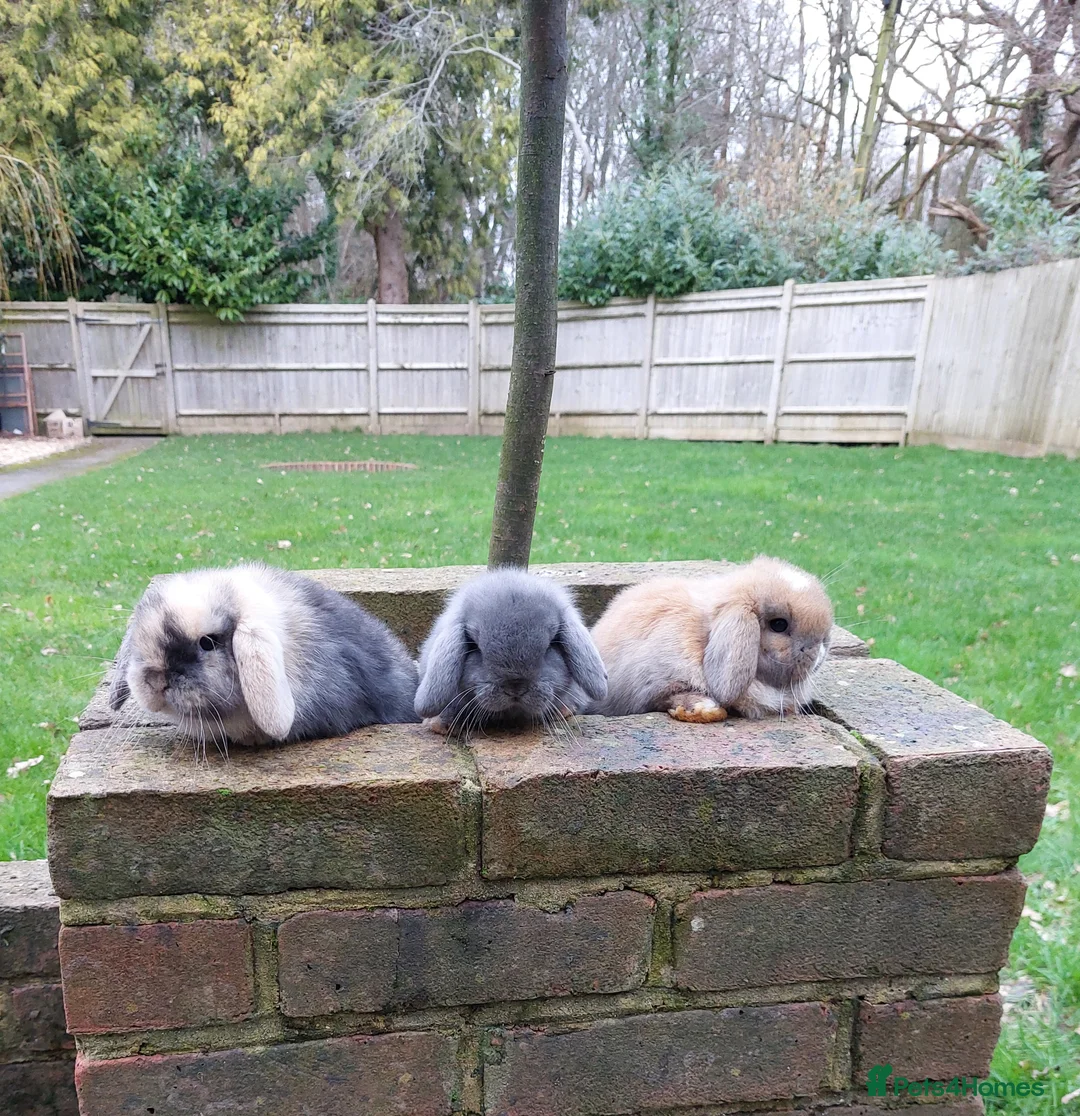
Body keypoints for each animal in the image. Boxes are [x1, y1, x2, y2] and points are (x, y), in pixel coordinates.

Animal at [590, 556, 834, 722]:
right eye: (779, 625)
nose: (821, 650)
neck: (703, 639)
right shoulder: (652, 685)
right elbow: (670, 696)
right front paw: (705, 710)